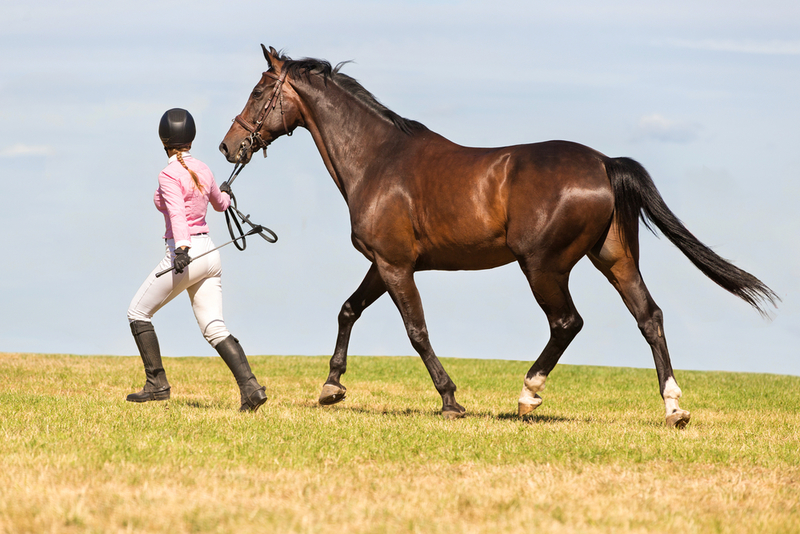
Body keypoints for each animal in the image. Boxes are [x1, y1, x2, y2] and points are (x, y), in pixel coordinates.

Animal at [219, 47, 776, 432]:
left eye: (257, 91)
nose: (228, 146)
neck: (378, 160)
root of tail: (603, 162)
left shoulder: (396, 266)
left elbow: (416, 331)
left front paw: (450, 401)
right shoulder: (383, 264)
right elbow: (348, 309)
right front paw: (331, 386)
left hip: (544, 266)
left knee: (567, 323)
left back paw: (529, 395)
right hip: (614, 260)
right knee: (649, 317)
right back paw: (673, 408)